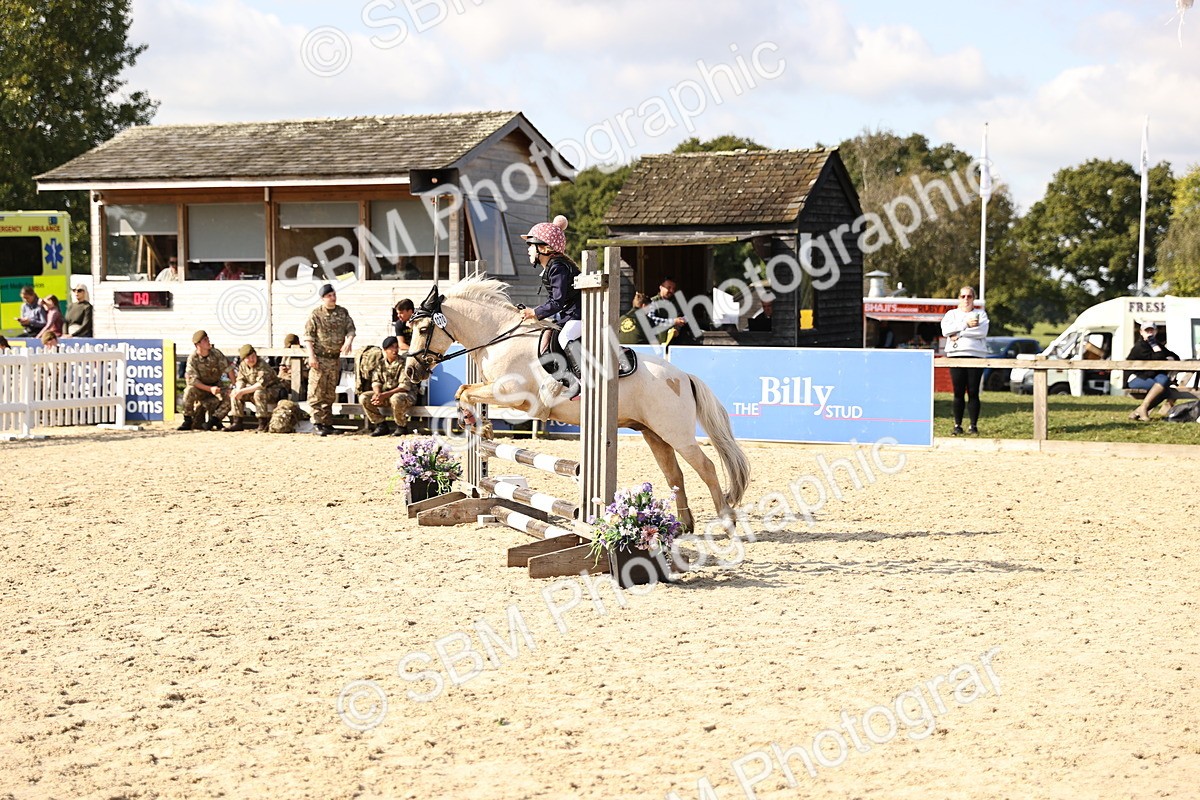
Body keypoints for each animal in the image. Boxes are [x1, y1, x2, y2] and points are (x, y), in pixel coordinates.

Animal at [404, 275, 750, 532]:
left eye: (423, 328)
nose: (411, 371)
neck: (500, 337)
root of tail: (683, 376)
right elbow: (464, 390)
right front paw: (477, 424)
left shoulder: (515, 396)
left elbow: (466, 392)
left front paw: (480, 425)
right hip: (654, 433)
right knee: (675, 475)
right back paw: (684, 523)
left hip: (676, 433)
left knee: (705, 467)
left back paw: (726, 520)